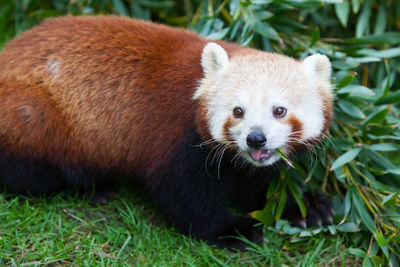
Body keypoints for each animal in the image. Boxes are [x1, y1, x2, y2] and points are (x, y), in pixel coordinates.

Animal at [0, 16, 332, 251]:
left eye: (279, 110)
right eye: (238, 111)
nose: (255, 138)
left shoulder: (244, 165)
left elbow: (255, 187)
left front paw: (305, 206)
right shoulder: (178, 139)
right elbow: (183, 196)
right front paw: (234, 230)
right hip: (35, 116)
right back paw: (93, 186)